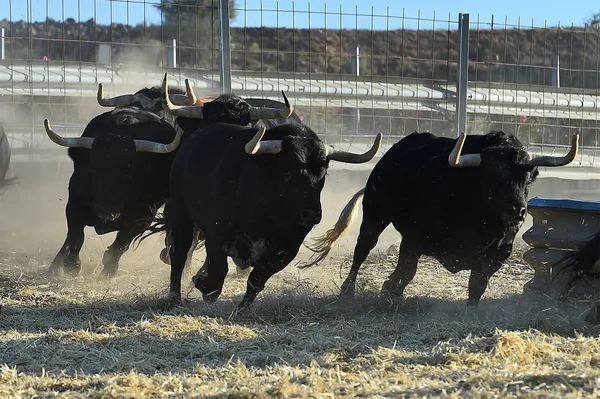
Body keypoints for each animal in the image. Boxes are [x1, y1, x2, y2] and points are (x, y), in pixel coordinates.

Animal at [139, 123, 382, 310]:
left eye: (324, 172)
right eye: (287, 170)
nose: (312, 213)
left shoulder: (287, 250)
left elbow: (257, 279)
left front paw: (241, 309)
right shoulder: (218, 234)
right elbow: (218, 270)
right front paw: (204, 285)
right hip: (181, 215)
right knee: (179, 256)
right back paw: (174, 298)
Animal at [302, 131, 580, 306]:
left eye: (527, 179)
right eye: (491, 179)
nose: (518, 211)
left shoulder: (500, 253)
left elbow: (478, 284)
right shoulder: (413, 240)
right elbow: (406, 272)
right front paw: (389, 290)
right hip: (375, 215)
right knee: (362, 250)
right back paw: (347, 291)